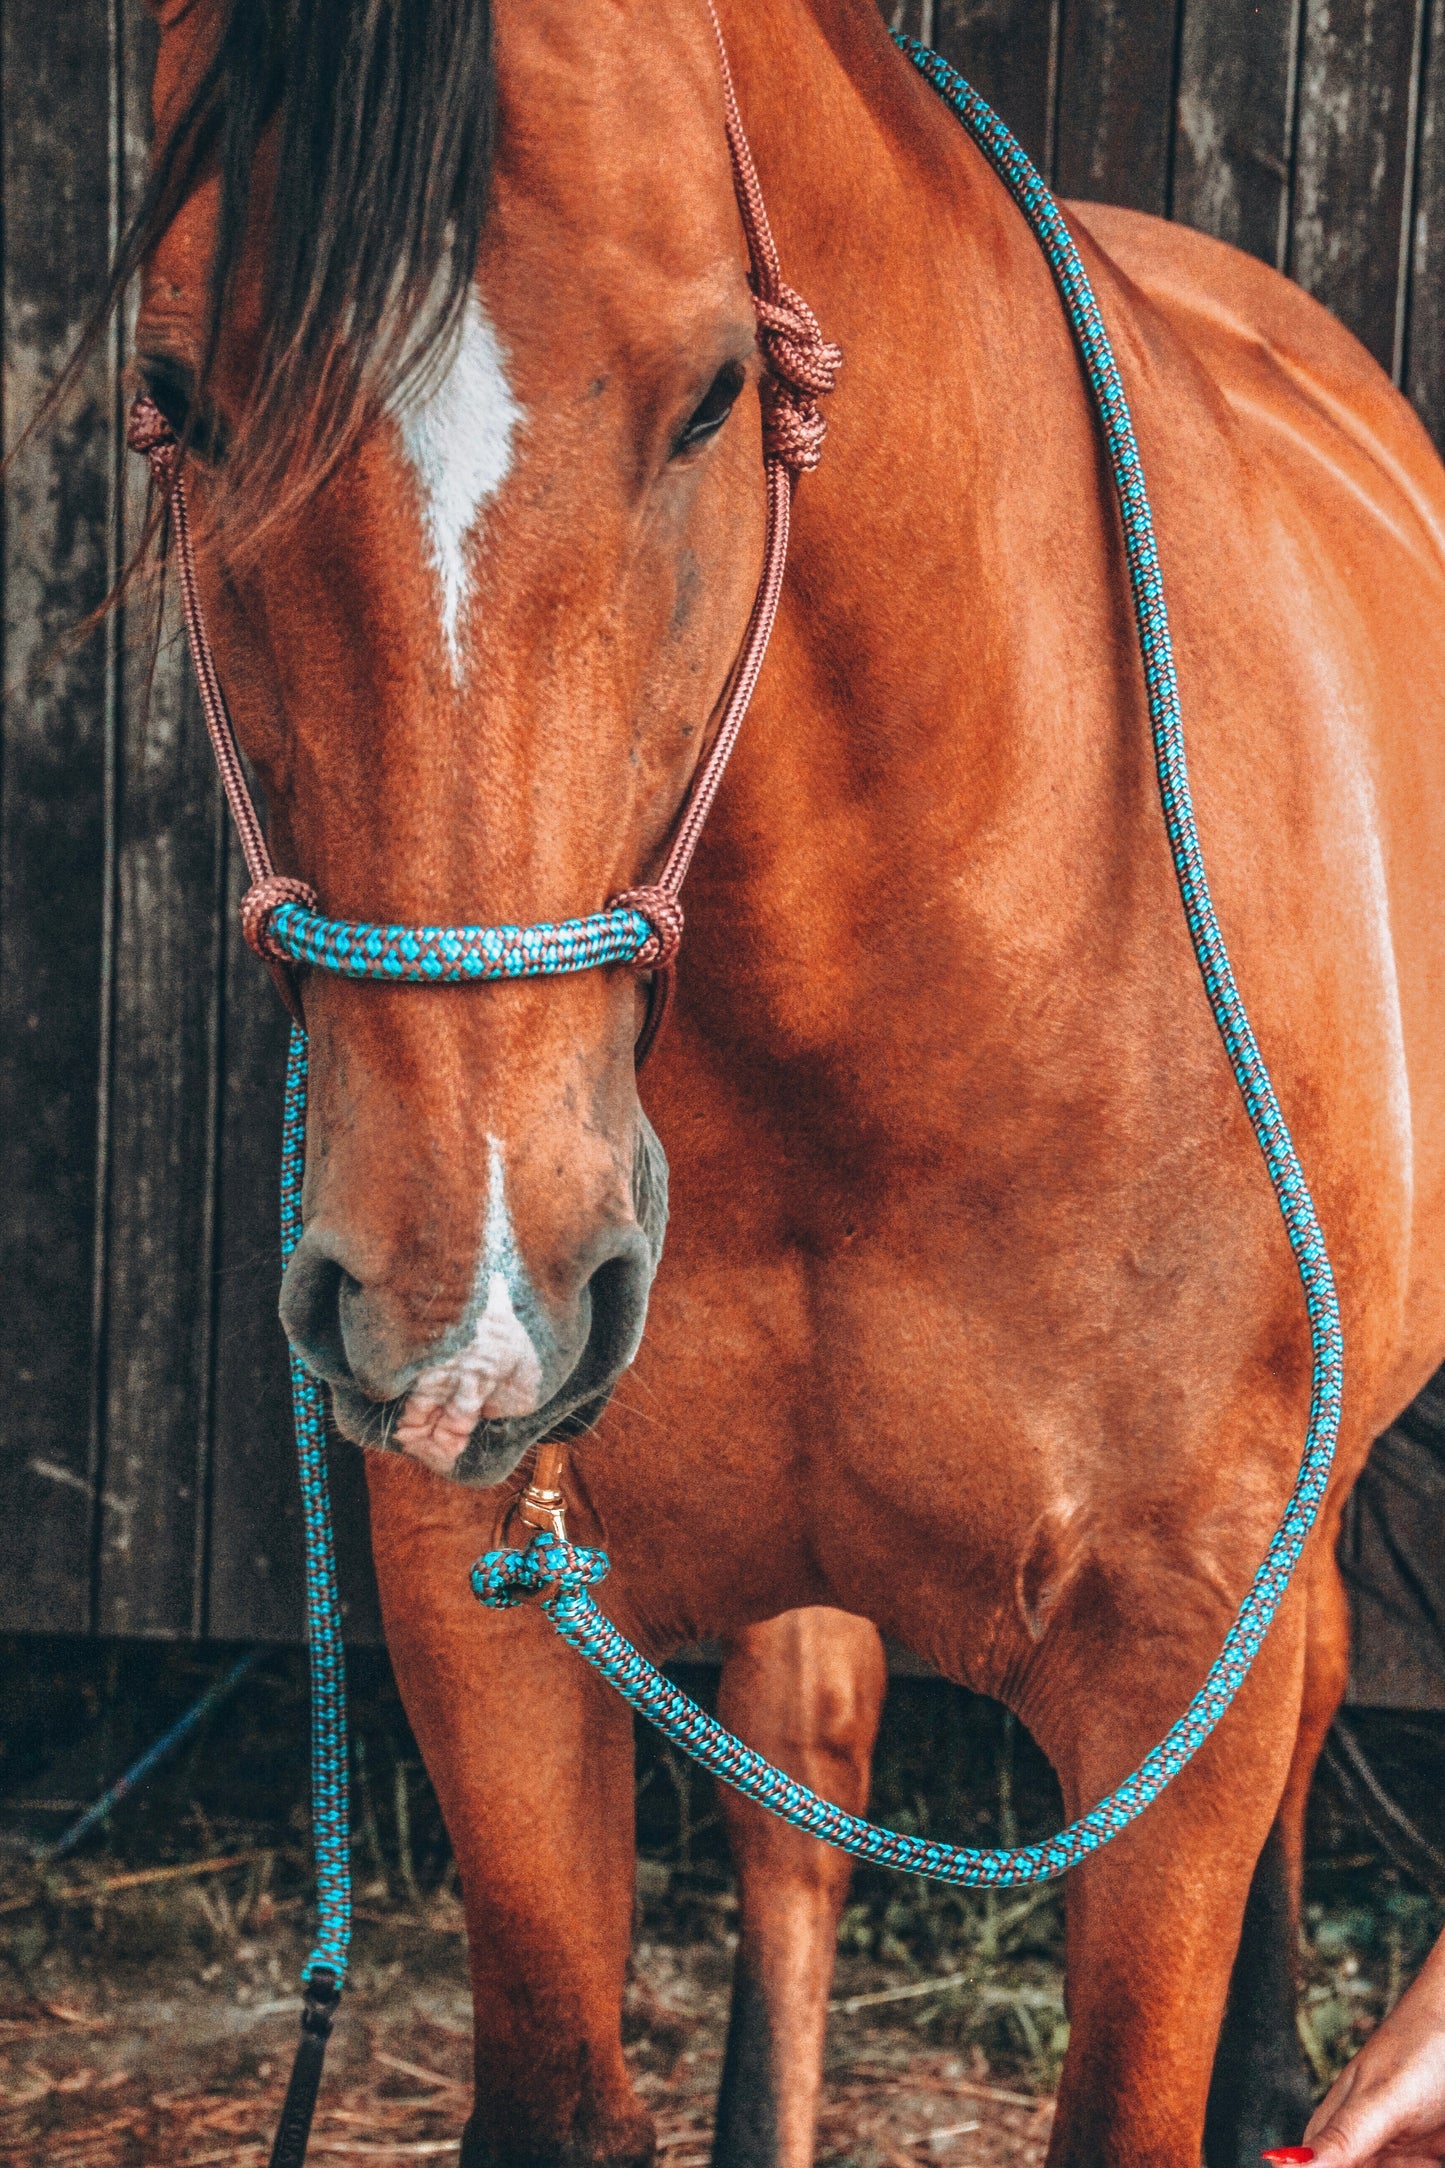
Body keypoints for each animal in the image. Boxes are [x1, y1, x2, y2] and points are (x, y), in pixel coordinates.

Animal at [121, 4, 1445, 2168]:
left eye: (711, 396)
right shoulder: (495, 1627)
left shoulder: (1180, 1666)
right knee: (797, 1794)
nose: (468, 1310)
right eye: (177, 397)